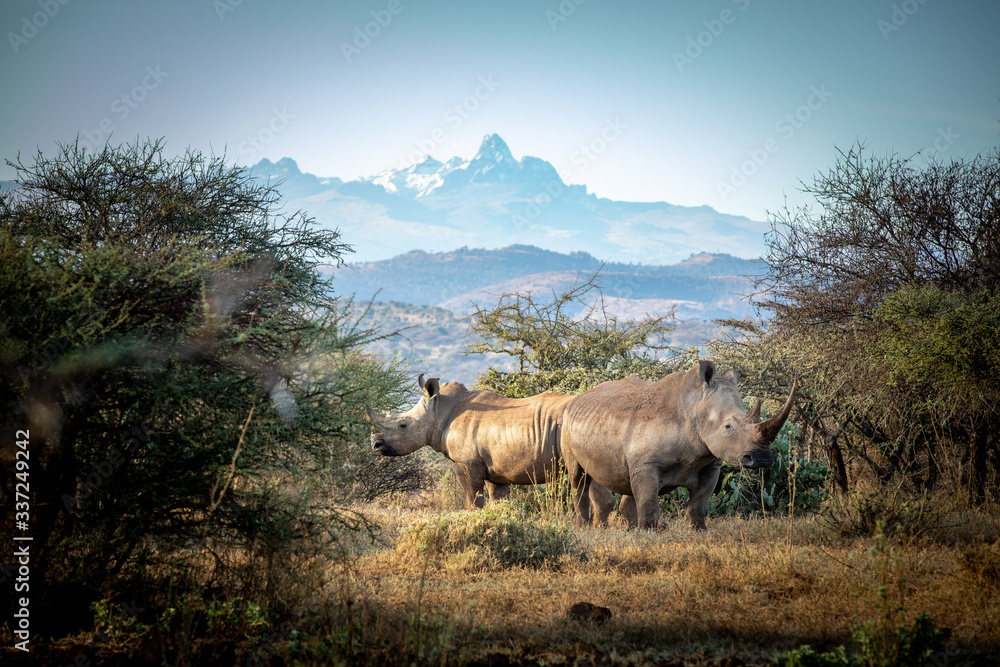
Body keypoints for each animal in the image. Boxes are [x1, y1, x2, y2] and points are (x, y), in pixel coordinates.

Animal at [365, 374, 614, 521]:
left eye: (402, 425)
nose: (375, 444)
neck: (439, 411)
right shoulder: (497, 471)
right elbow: (498, 500)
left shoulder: (466, 462)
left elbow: (473, 499)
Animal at [560, 360, 796, 530]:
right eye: (728, 426)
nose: (762, 459)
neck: (695, 406)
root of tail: (578, 398)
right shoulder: (647, 464)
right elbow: (649, 504)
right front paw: (648, 534)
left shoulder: (710, 463)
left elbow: (699, 503)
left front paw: (699, 531)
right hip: (566, 423)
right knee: (578, 478)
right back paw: (583, 529)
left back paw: (629, 530)